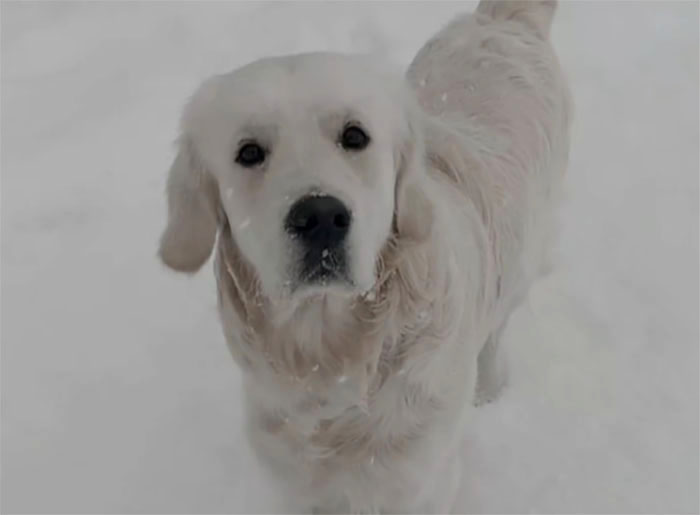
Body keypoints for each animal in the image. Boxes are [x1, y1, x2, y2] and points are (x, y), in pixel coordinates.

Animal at [161, 2, 572, 512]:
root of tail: (502, 21)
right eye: (249, 152)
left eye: (355, 136)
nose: (320, 217)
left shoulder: (421, 482)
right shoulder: (293, 485)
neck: (333, 364)